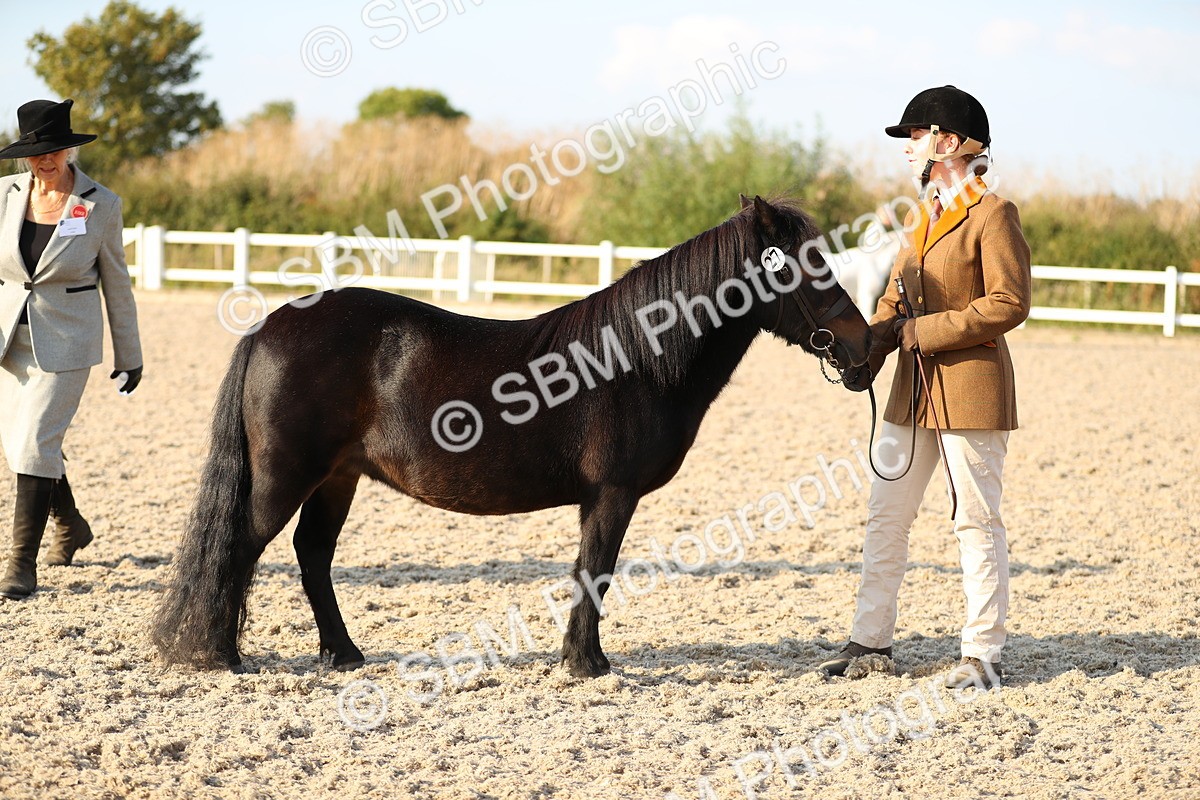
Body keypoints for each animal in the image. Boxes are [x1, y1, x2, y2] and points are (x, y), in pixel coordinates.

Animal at [151, 195, 873, 678]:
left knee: (311, 555)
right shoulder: (612, 495)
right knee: (241, 548)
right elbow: (596, 571)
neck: (635, 360)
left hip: (338, 479)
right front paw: (587, 664)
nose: (865, 349)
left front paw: (581, 658)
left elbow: (588, 571)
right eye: (809, 266)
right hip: (287, 476)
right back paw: (219, 654)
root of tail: (271, 324)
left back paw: (344, 654)